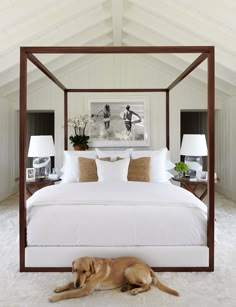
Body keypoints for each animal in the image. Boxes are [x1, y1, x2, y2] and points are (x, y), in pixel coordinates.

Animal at [48, 258, 180, 304]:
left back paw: (135, 290)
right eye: (75, 270)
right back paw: (126, 287)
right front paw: (59, 288)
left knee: (147, 286)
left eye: (84, 271)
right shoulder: (79, 282)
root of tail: (148, 266)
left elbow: (68, 294)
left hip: (129, 270)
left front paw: (54, 298)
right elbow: (70, 283)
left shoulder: (84, 289)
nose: (78, 284)